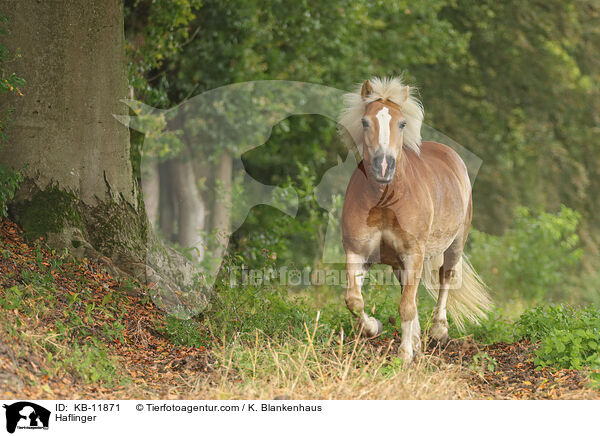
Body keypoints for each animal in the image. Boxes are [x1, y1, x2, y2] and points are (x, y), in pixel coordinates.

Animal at [338, 76, 492, 362]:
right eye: (365, 122)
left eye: (402, 123)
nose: (383, 167)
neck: (385, 201)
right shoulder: (358, 253)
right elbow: (354, 299)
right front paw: (374, 327)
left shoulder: (414, 253)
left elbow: (407, 306)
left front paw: (405, 354)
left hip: (455, 244)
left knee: (445, 277)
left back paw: (439, 332)